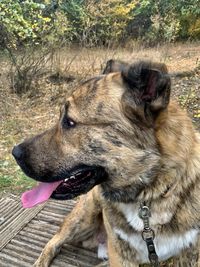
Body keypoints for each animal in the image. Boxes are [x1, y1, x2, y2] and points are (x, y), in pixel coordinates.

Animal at [12, 59, 200, 266]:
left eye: (69, 122)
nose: (15, 153)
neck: (148, 196)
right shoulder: (121, 254)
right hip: (84, 217)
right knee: (54, 241)